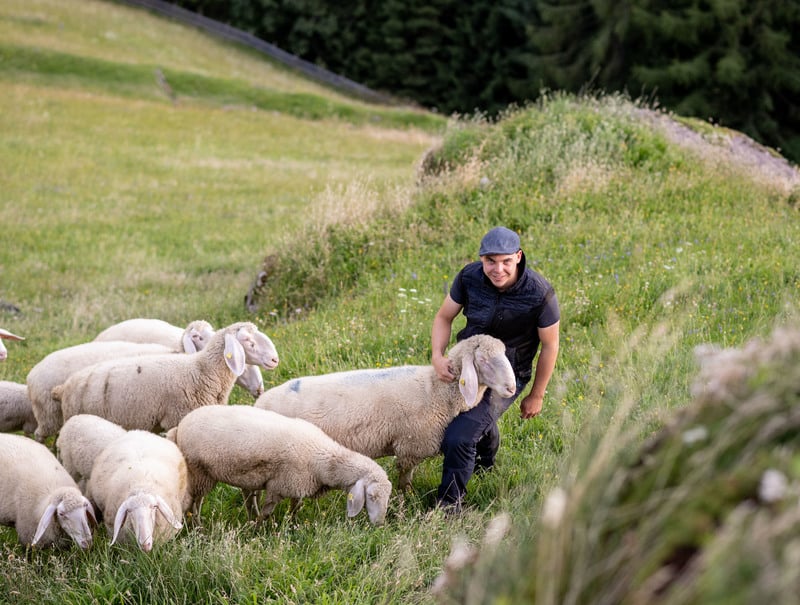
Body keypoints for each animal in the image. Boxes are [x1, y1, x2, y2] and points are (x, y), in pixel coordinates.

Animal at [170, 404, 394, 528]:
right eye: (372, 496)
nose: (380, 524)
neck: (324, 460)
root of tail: (179, 426)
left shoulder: (297, 486)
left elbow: (295, 507)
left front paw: (291, 523)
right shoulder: (279, 486)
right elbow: (267, 512)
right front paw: (257, 529)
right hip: (199, 472)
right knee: (195, 502)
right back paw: (197, 526)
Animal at [258, 332, 520, 488]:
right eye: (483, 361)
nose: (512, 387)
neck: (436, 390)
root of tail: (260, 402)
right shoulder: (410, 447)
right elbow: (404, 481)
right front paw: (406, 504)